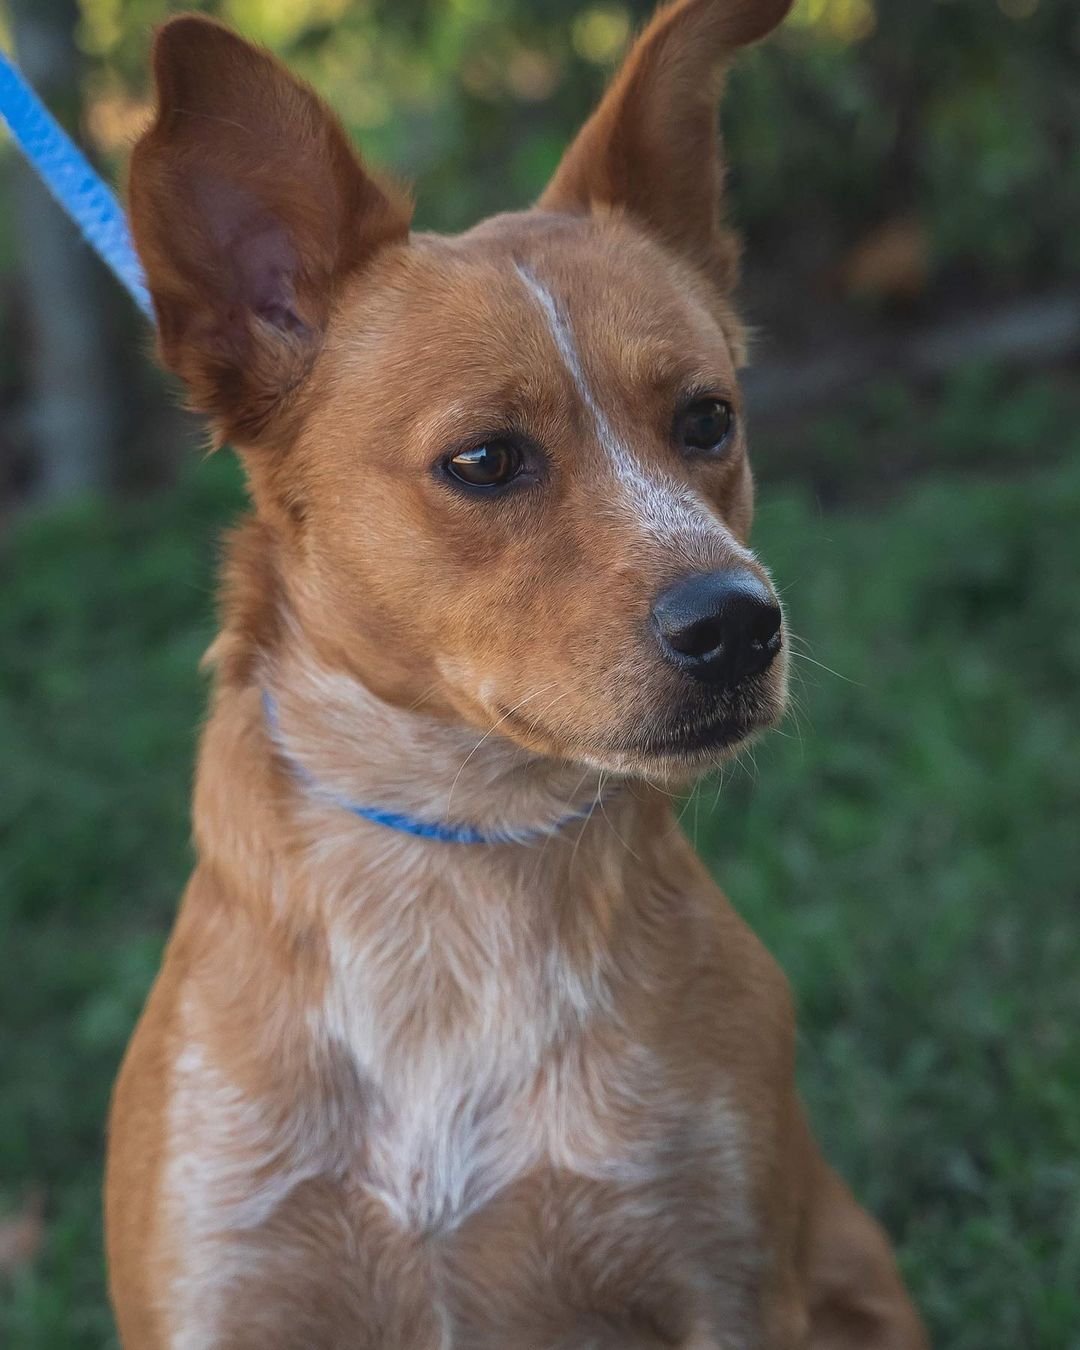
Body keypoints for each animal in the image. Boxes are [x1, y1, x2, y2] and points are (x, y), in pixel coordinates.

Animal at [103, 5, 928, 1344]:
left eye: (707, 420)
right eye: (487, 459)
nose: (740, 624)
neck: (461, 854)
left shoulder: (727, 1277)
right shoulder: (218, 1290)